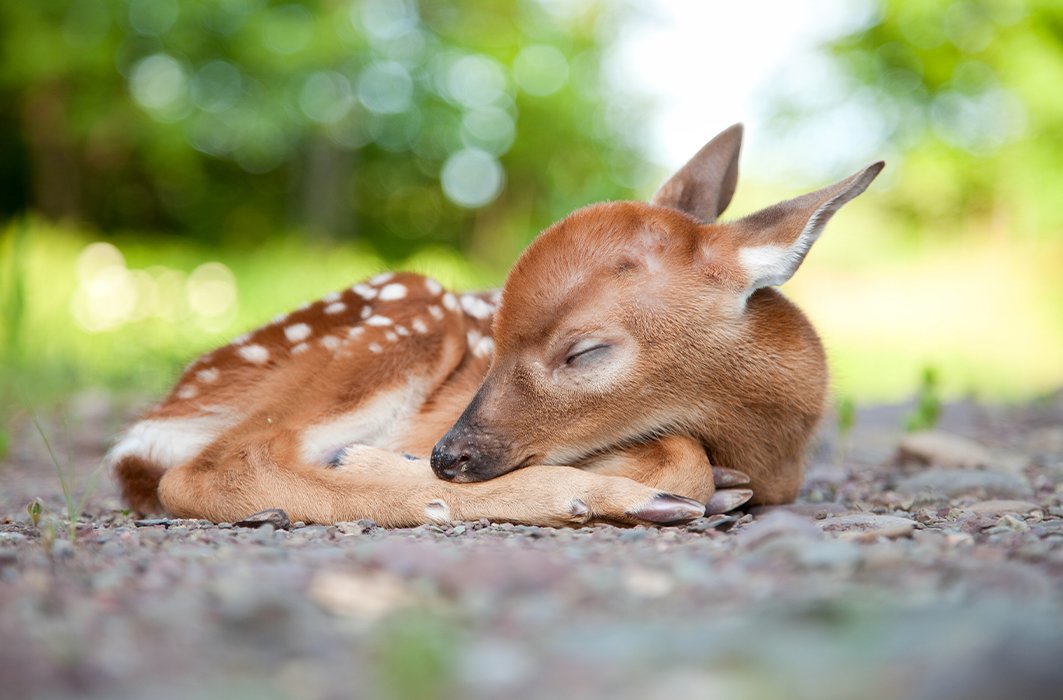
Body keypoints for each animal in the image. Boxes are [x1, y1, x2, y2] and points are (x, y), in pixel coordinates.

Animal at [108, 124, 883, 528]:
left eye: (585, 352)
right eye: (497, 337)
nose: (447, 455)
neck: (770, 448)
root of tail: (164, 412)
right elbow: (681, 455)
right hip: (406, 310)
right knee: (213, 467)